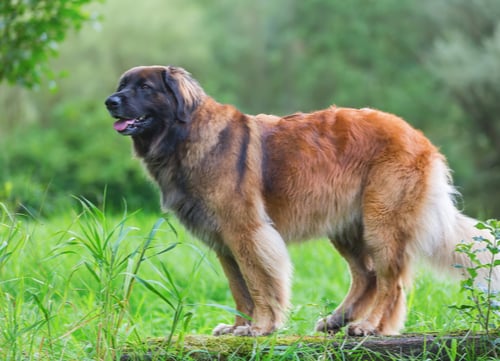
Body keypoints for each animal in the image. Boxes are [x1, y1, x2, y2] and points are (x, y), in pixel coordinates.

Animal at [104, 64, 496, 334]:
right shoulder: (223, 243)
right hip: (348, 227)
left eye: (145, 87)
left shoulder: (247, 233)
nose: (110, 101)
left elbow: (259, 283)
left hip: (382, 223)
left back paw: (369, 326)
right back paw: (338, 319)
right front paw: (238, 327)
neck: (184, 137)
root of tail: (419, 136)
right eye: (121, 85)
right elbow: (239, 289)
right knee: (366, 275)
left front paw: (260, 327)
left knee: (390, 282)